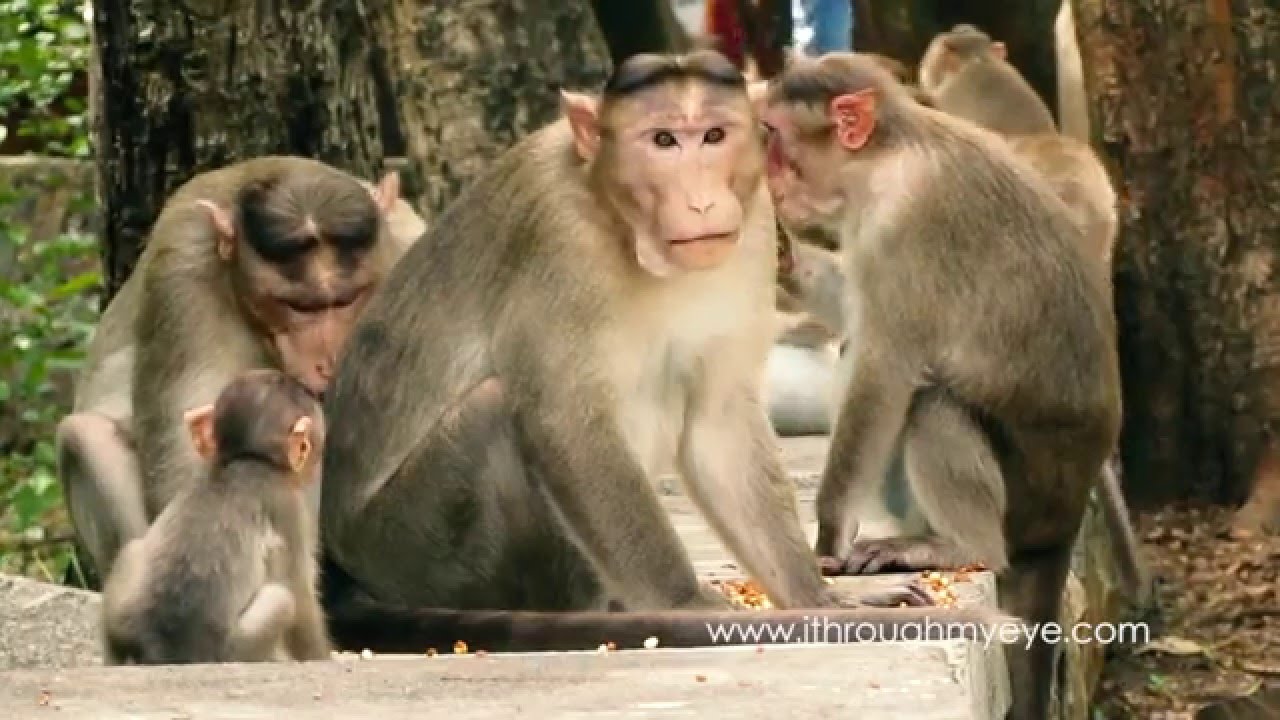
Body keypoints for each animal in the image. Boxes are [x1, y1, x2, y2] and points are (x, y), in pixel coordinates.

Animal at [57, 157, 426, 584]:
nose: (330, 360)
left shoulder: (408, 242)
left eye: (348, 298)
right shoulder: (182, 274)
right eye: (297, 306)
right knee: (86, 437)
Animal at [101, 369, 331, 665]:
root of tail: (163, 647)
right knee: (282, 598)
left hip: (123, 618)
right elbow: (301, 595)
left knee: (131, 550)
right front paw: (322, 656)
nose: (313, 468)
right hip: (236, 648)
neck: (246, 458)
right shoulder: (286, 504)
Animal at [316, 51, 1017, 654]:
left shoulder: (753, 228)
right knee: (499, 407)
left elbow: (719, 422)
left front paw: (817, 598)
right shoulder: (556, 237)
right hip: (411, 542)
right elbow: (566, 422)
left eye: (714, 135)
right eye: (661, 142)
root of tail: (344, 562)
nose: (702, 199)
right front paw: (688, 605)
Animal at [757, 53, 1123, 719]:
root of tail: (1063, 522)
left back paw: (957, 546)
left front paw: (828, 535)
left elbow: (884, 367)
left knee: (931, 403)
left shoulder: (900, 224)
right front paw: (785, 260)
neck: (883, 157)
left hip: (1024, 502)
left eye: (773, 133)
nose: (767, 172)